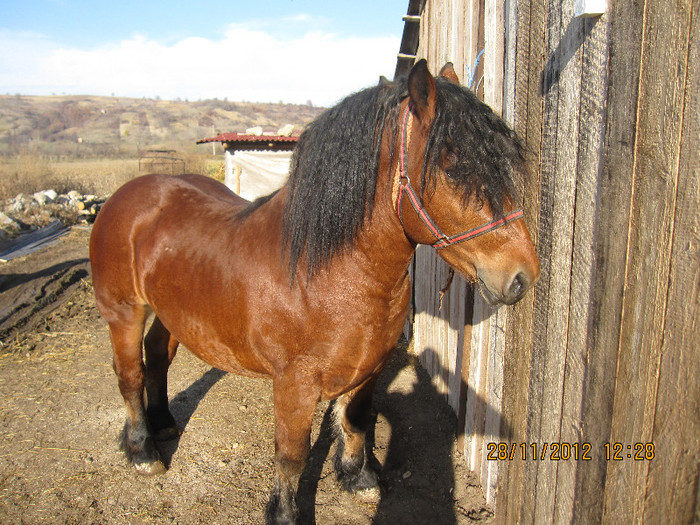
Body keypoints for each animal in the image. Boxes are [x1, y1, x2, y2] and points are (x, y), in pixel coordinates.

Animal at [86, 59, 536, 520]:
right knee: (130, 374)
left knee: (158, 356)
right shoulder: (294, 384)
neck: (326, 276)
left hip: (172, 311)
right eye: (451, 162)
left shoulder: (370, 368)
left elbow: (355, 420)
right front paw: (285, 514)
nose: (522, 275)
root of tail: (128, 194)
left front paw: (359, 479)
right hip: (123, 312)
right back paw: (143, 451)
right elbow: (291, 456)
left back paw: (163, 425)